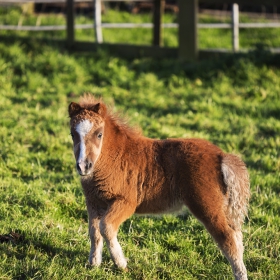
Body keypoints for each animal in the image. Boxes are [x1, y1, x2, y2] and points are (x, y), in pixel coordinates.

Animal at [67, 95, 249, 278]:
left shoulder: (126, 202)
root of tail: (221, 156)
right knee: (237, 235)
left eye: (99, 134)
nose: (84, 166)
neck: (113, 158)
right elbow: (94, 231)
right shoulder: (94, 202)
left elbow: (106, 227)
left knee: (228, 239)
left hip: (207, 206)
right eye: (72, 134)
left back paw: (241, 275)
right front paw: (93, 264)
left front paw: (121, 264)